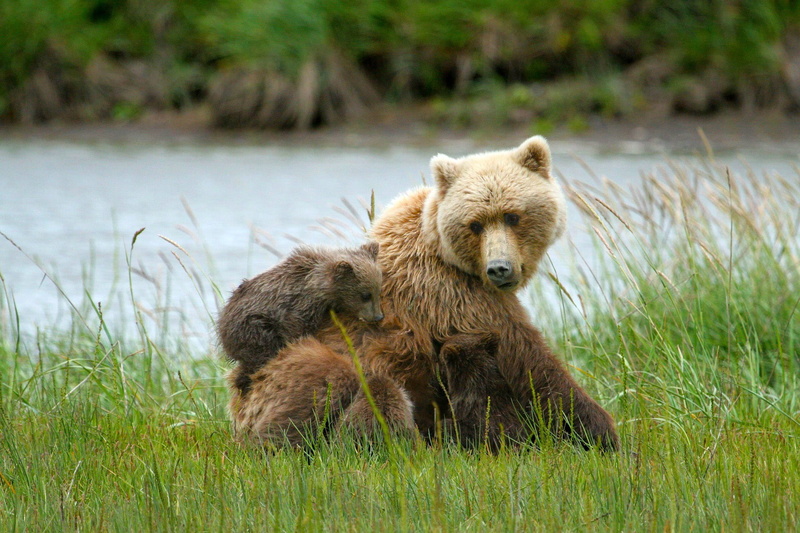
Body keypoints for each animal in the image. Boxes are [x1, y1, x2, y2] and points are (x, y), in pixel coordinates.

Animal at [217, 242, 384, 395]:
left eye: (378, 291)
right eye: (365, 295)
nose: (378, 316)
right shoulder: (297, 306)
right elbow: (296, 330)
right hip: (253, 327)